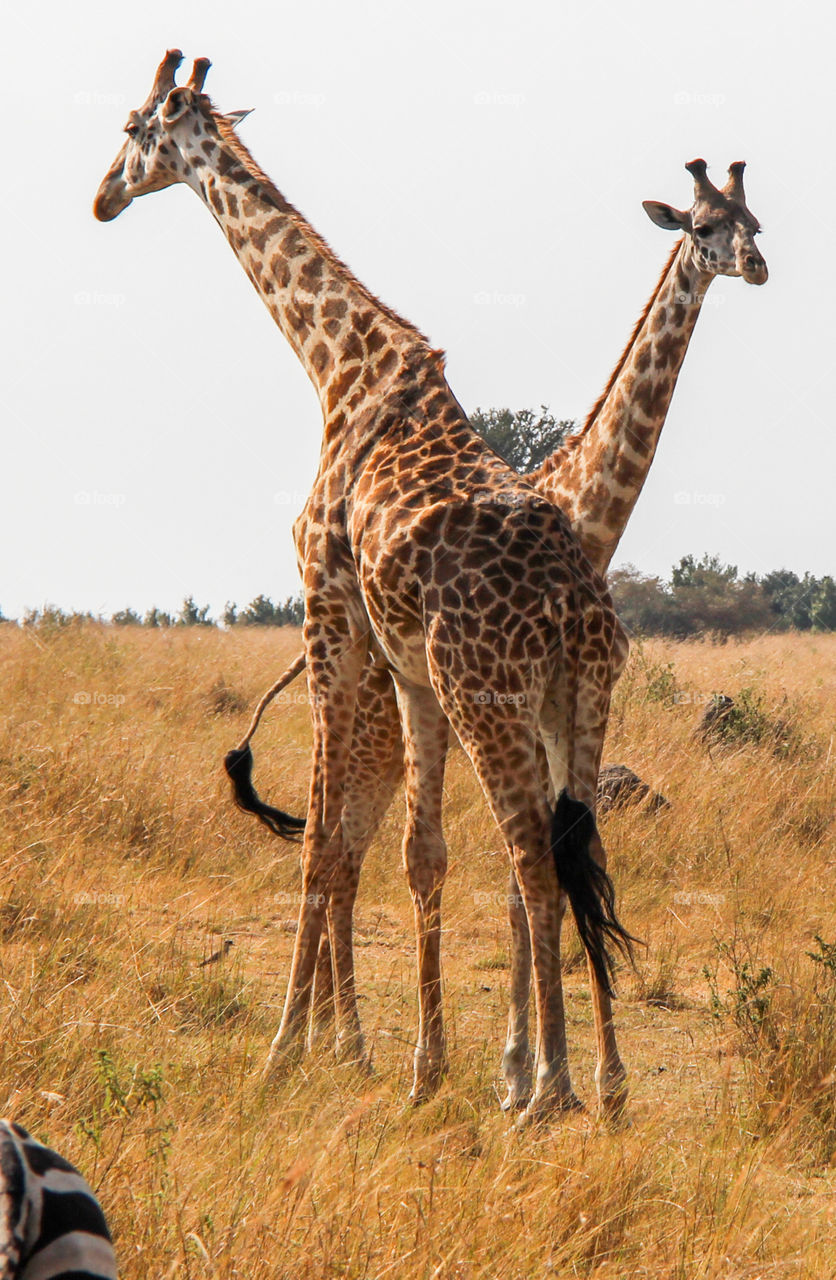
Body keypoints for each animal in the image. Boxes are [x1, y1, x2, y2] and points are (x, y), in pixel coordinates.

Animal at [94, 50, 635, 1120]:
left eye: (134, 128)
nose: (100, 197)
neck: (341, 367)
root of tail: (572, 605)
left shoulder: (325, 604)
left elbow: (318, 843)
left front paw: (285, 1053)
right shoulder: (407, 666)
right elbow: (415, 853)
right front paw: (421, 1067)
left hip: (489, 695)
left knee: (530, 859)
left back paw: (548, 1092)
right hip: (579, 701)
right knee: (576, 853)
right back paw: (592, 1083)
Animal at [228, 159, 768, 1105]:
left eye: (756, 223)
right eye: (702, 227)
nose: (756, 264)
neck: (586, 509)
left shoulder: (555, 708)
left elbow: (549, 873)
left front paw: (534, 1073)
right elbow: (525, 878)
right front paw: (523, 1073)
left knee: (345, 853)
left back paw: (339, 1044)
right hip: (387, 720)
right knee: (340, 852)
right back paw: (333, 1044)